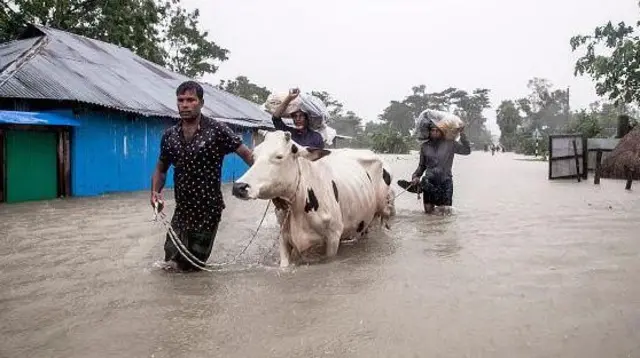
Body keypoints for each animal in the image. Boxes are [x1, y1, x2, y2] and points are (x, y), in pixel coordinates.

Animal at [234, 131, 392, 266]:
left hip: (383, 210)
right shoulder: (284, 236)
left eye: (279, 156)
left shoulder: (333, 237)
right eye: (254, 156)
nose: (239, 186)